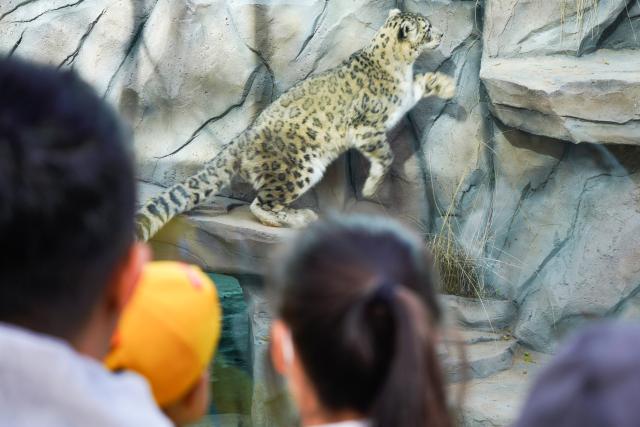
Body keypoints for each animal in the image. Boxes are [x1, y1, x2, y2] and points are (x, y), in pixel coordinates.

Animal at [135, 9, 456, 241]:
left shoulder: (404, 94)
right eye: (427, 27)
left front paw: (446, 85)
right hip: (299, 167)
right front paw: (372, 186)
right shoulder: (367, 127)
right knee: (261, 204)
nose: (442, 33)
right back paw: (300, 217)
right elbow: (386, 156)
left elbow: (419, 84)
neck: (400, 66)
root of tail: (245, 135)